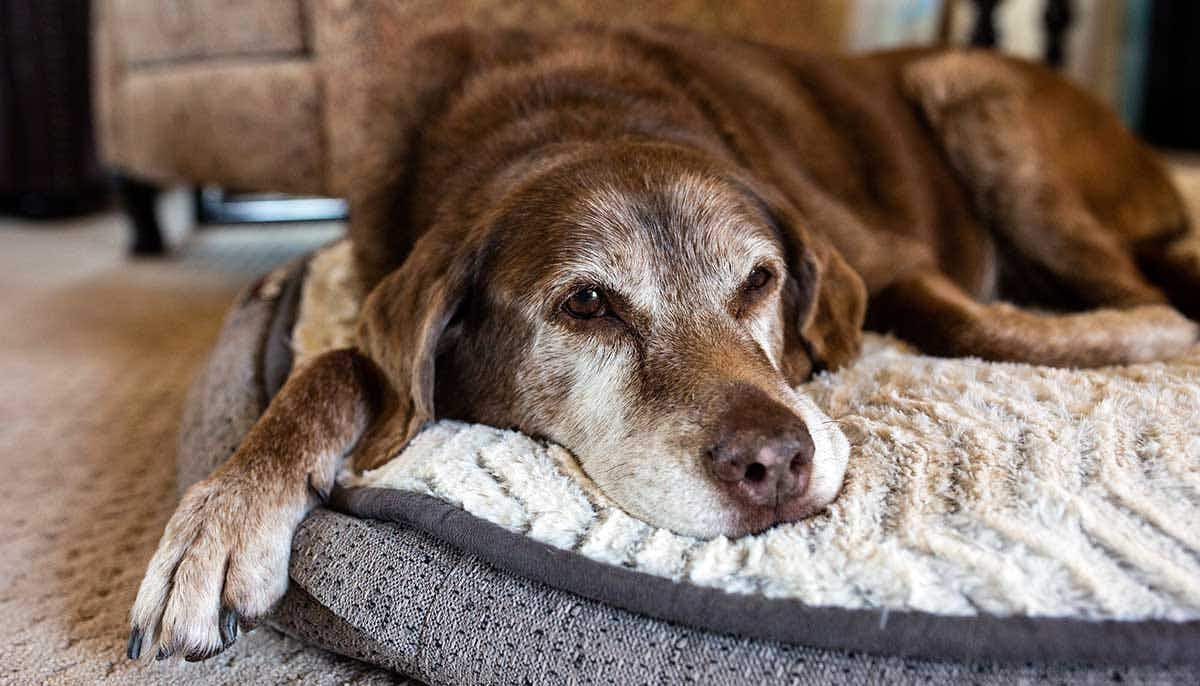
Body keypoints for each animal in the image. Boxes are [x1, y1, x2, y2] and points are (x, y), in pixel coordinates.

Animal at [126, 24, 1195, 662]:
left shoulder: (883, 258)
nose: (775, 465)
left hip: (972, 92)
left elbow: (964, 320)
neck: (573, 114)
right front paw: (221, 519)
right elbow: (340, 364)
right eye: (589, 305)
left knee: (1139, 288)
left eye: (760, 281)